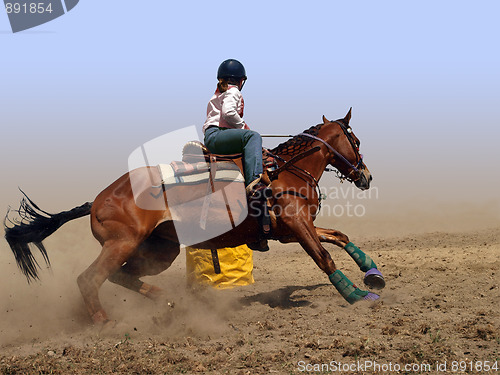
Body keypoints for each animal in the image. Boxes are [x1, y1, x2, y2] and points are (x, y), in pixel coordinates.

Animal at [3, 108, 384, 326]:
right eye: (356, 140)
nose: (366, 176)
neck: (285, 172)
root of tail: (96, 201)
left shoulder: (291, 229)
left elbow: (340, 237)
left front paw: (373, 275)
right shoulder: (296, 227)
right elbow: (324, 257)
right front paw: (357, 297)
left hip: (158, 251)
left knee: (122, 276)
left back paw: (167, 302)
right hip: (121, 244)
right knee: (90, 279)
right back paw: (104, 322)